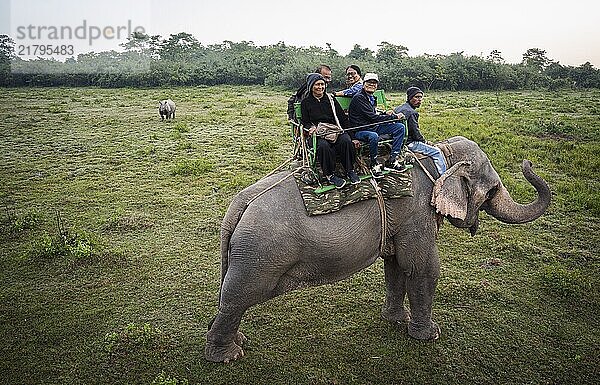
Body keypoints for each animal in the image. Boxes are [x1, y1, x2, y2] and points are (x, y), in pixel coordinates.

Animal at [205, 136, 548, 362]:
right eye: (492, 189)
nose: (528, 162)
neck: (442, 155)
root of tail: (237, 208)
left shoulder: (400, 221)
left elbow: (396, 266)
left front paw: (395, 320)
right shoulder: (416, 213)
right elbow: (423, 268)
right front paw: (429, 335)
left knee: (230, 297)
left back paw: (237, 341)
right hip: (258, 255)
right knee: (237, 297)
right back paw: (228, 356)